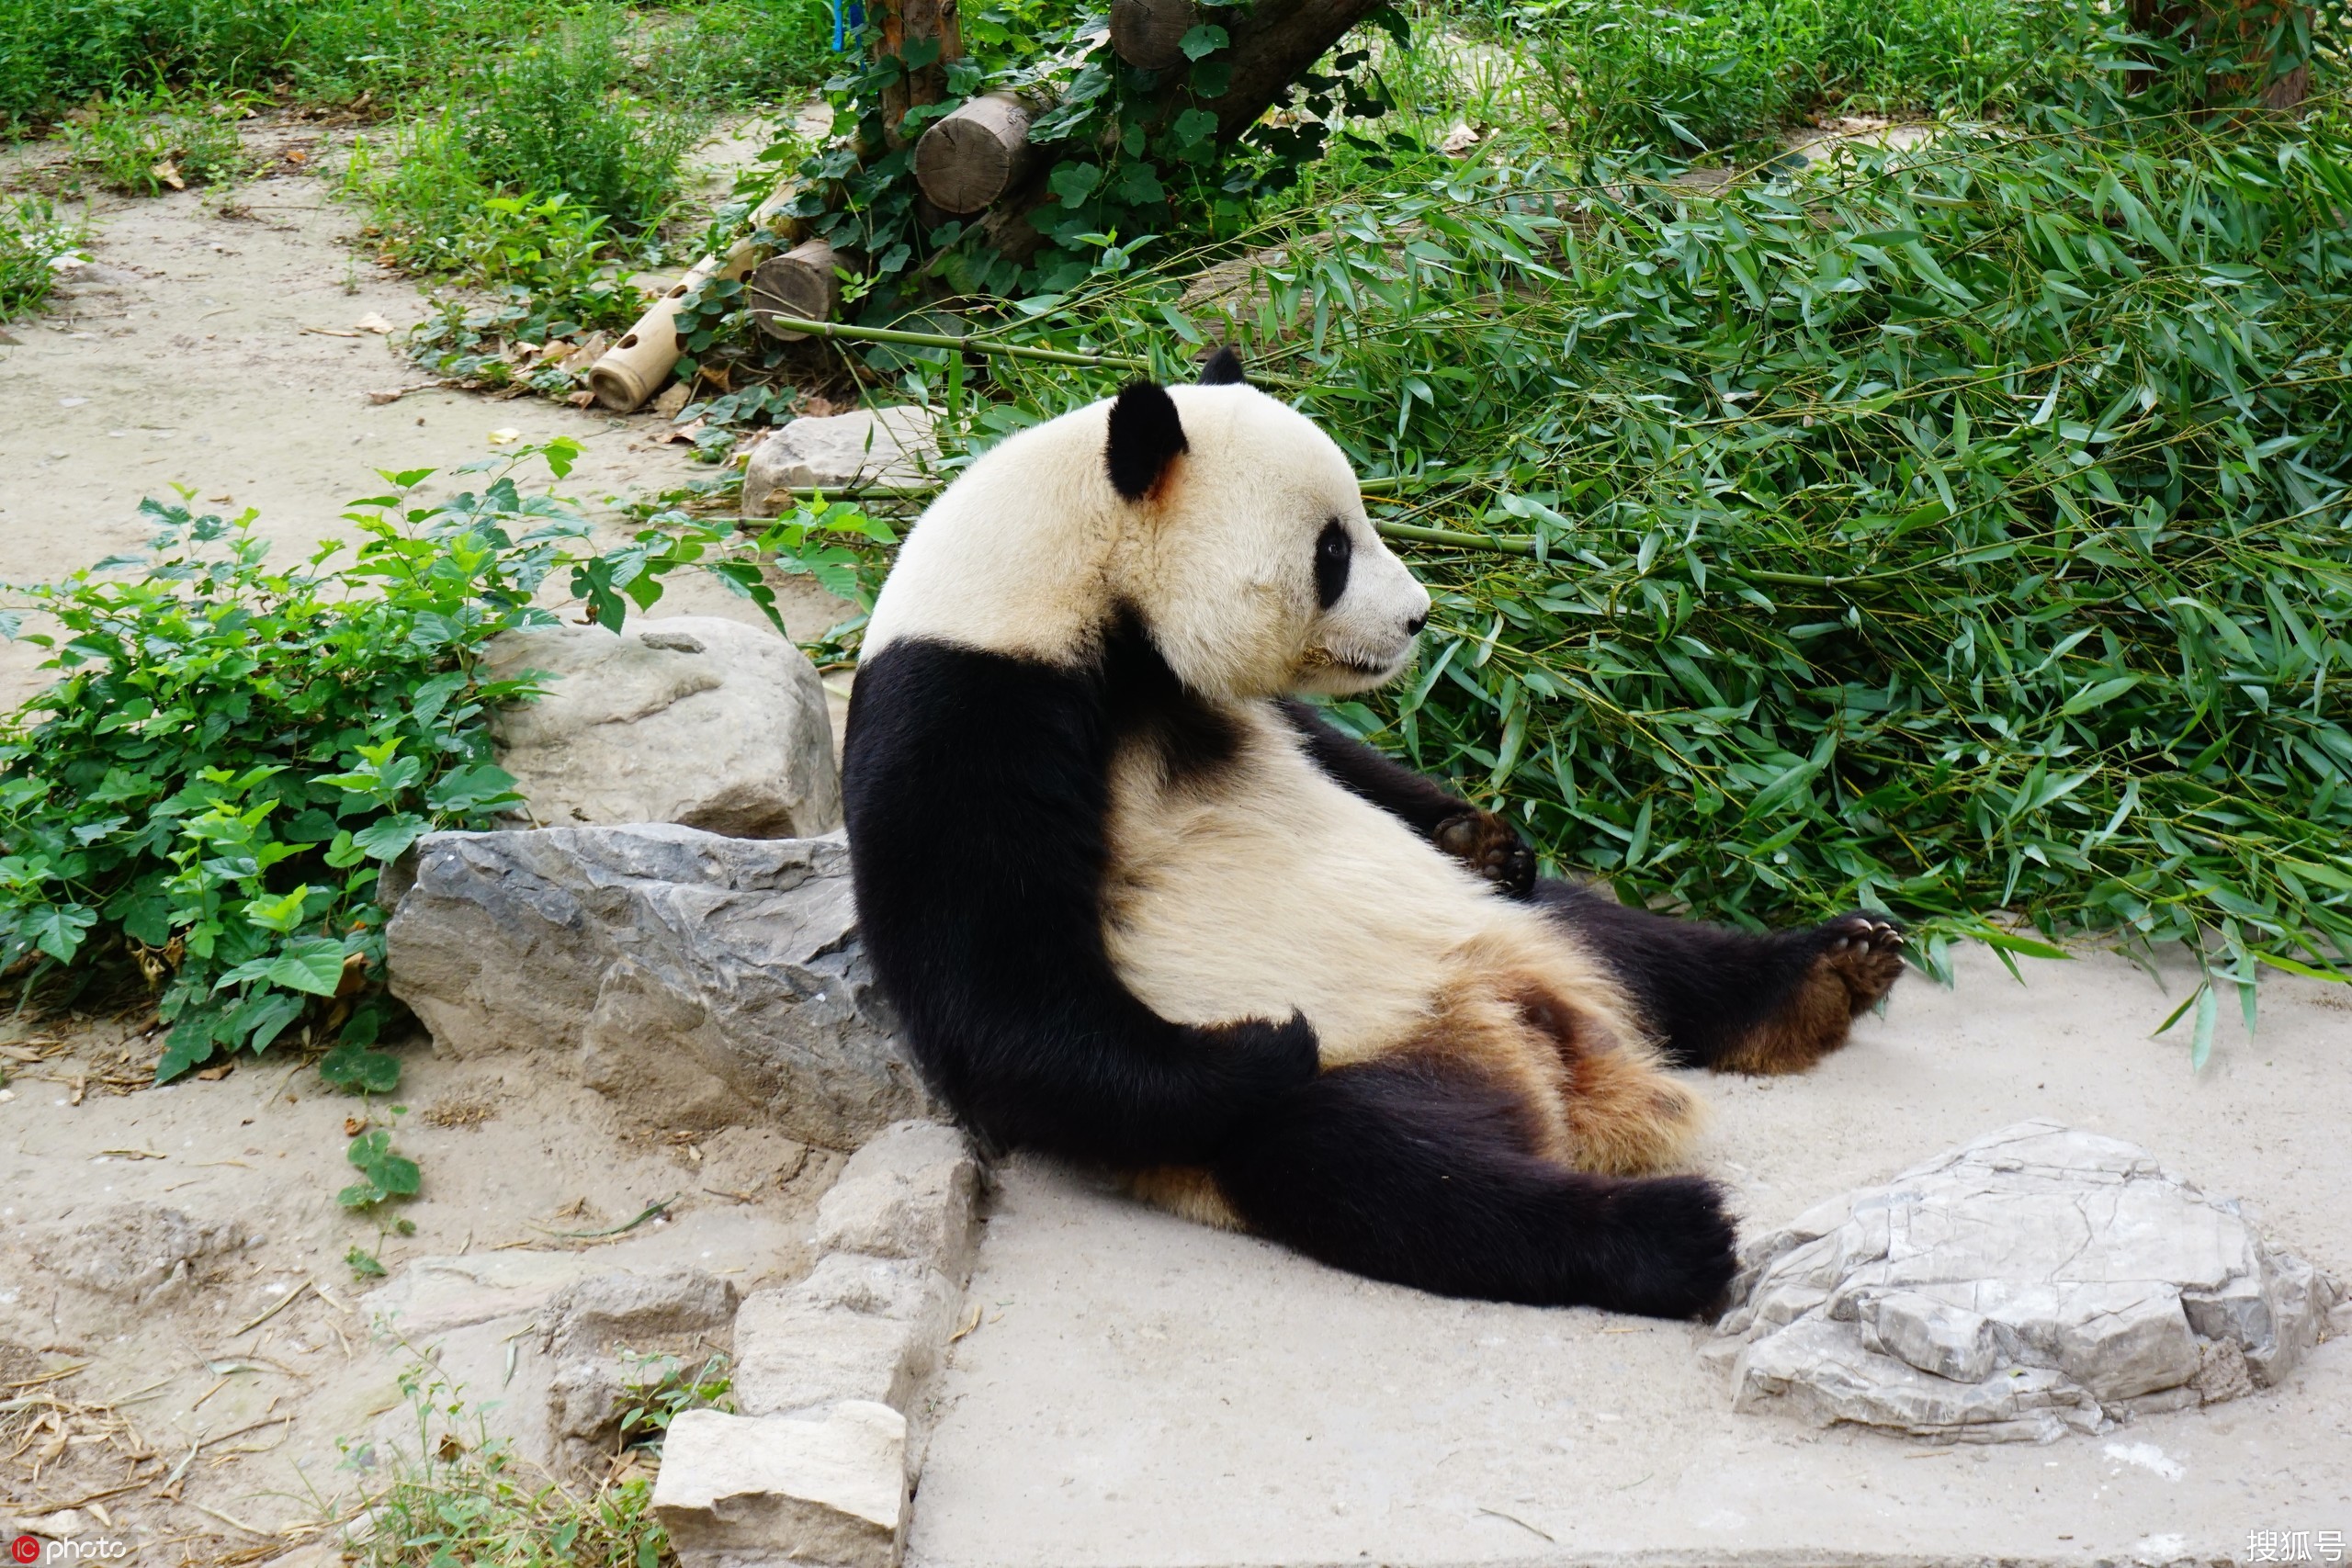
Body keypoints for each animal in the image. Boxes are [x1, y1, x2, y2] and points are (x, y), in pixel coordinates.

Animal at [837, 350, 1900, 1316]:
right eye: (1332, 551)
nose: (1419, 619)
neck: (1074, 587)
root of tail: (1541, 1042)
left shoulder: (1214, 699)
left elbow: (1344, 757)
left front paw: (1485, 834)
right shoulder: (968, 710)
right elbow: (994, 998)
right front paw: (1262, 1042)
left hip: (1517, 929)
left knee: (1630, 940)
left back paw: (1825, 971)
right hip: (1356, 1071)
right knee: (1387, 1173)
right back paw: (1668, 1234)